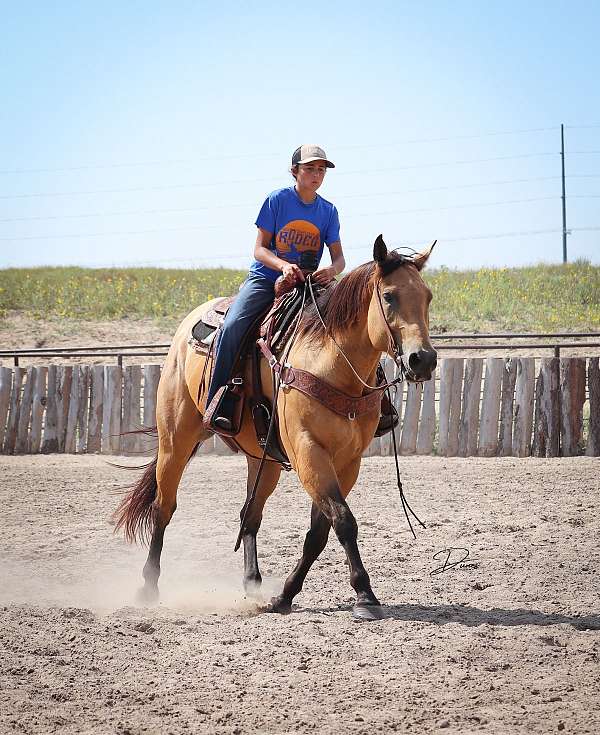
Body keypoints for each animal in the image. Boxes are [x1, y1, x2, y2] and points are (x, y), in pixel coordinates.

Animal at [113, 236, 436, 620]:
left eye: (428, 296)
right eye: (389, 296)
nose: (423, 359)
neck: (332, 364)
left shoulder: (348, 461)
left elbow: (319, 531)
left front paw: (285, 595)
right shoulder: (307, 450)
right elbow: (343, 520)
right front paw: (365, 595)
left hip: (262, 458)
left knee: (250, 514)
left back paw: (253, 582)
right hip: (175, 441)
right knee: (164, 506)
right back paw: (149, 586)